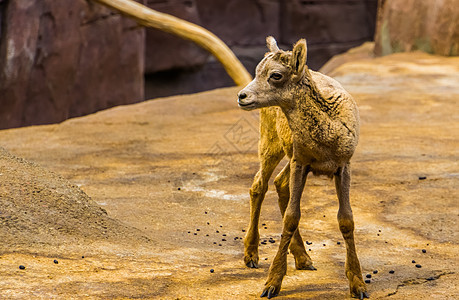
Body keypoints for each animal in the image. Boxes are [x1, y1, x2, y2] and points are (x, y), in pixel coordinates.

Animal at [239, 36, 368, 298]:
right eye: (257, 71)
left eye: (276, 75)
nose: (242, 96)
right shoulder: (301, 163)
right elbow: (291, 217)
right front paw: (271, 285)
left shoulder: (342, 166)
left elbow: (346, 220)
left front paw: (359, 286)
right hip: (271, 144)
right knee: (259, 185)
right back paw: (252, 256)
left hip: (288, 156)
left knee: (279, 184)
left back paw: (304, 260)